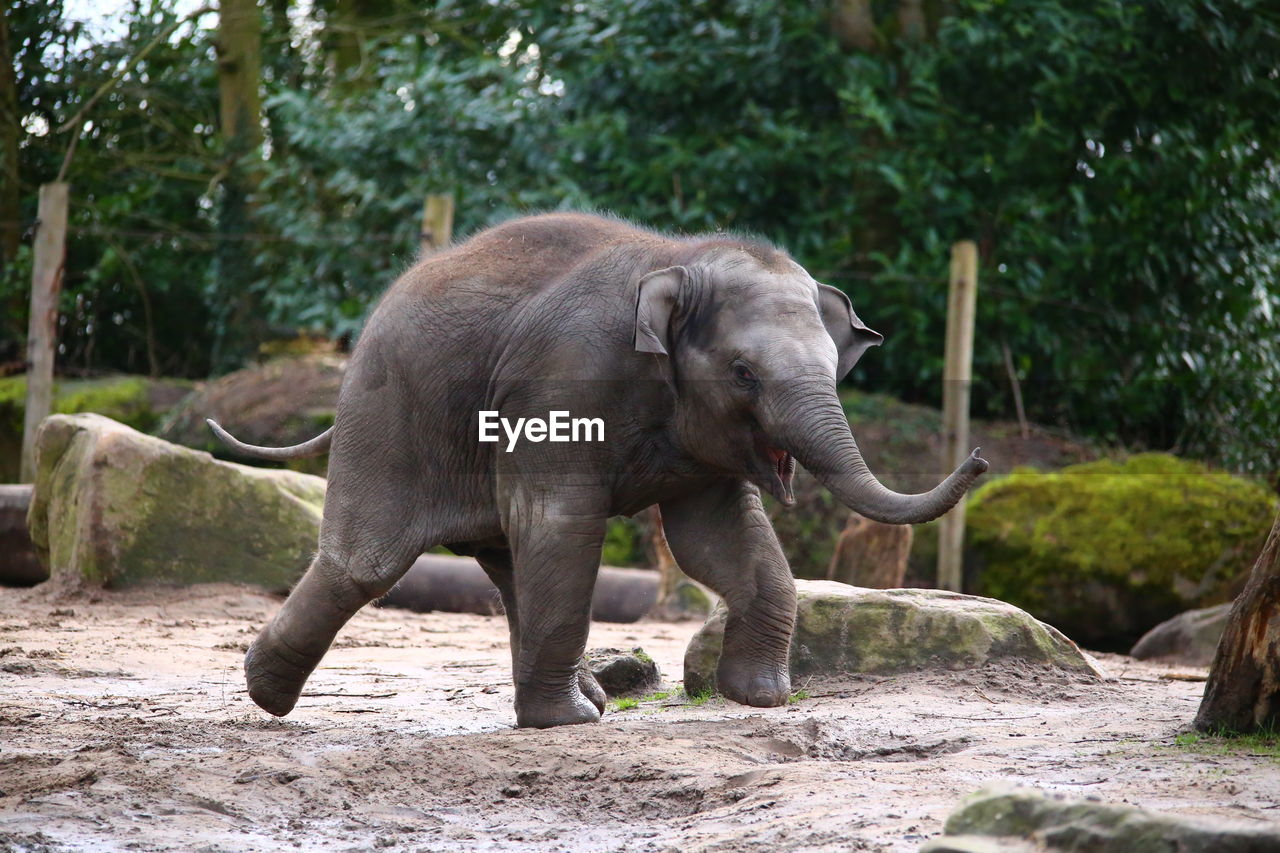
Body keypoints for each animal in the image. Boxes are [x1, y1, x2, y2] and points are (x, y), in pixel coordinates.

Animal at [212, 211, 988, 722]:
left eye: (836, 368)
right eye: (744, 374)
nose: (979, 457)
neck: (676, 262)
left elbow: (719, 538)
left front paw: (762, 696)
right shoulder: (564, 377)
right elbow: (567, 522)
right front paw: (568, 725)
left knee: (508, 561)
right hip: (389, 412)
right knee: (366, 563)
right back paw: (267, 694)